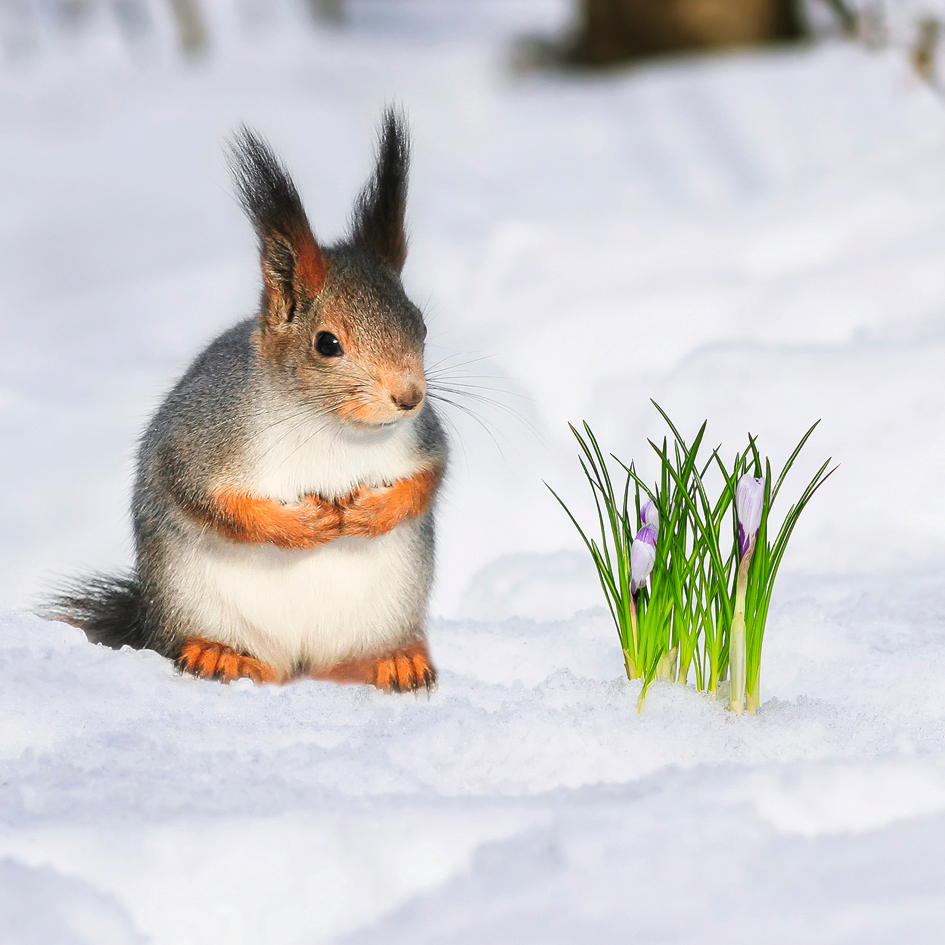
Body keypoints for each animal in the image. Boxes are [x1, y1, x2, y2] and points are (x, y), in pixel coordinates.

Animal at [49, 110, 448, 692]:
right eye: (327, 343)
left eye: (420, 326)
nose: (408, 397)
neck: (328, 425)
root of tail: (296, 661)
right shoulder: (200, 435)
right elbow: (202, 496)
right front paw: (299, 526)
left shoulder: (423, 436)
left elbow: (429, 476)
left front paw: (377, 511)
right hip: (190, 600)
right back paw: (219, 655)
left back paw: (390, 660)